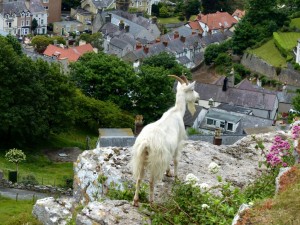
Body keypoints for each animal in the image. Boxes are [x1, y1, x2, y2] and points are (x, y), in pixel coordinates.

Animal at [131, 74, 199, 207]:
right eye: (192, 89)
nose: (198, 97)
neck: (177, 111)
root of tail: (146, 142)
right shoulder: (177, 143)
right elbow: (176, 160)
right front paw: (176, 177)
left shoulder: (168, 150)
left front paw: (168, 172)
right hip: (155, 161)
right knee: (151, 181)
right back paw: (152, 202)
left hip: (141, 158)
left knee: (139, 178)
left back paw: (136, 200)